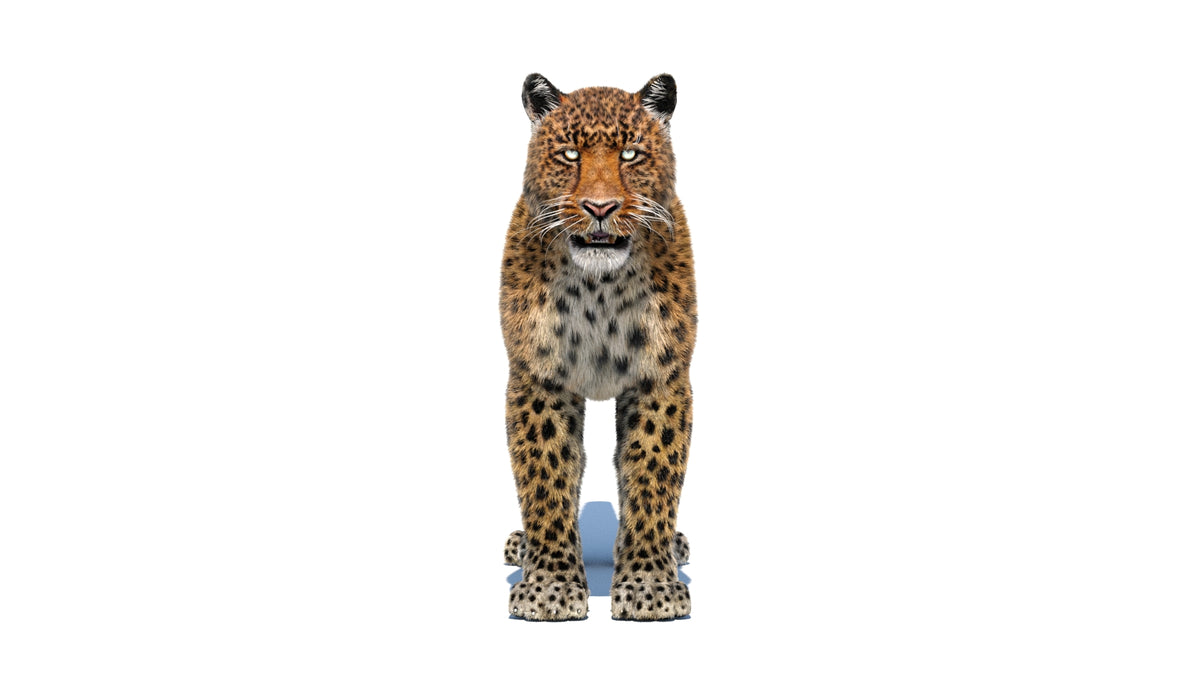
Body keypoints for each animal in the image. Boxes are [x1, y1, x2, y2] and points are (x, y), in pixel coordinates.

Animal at [499, 73, 698, 621]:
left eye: (630, 154)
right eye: (569, 154)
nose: (600, 208)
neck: (600, 288)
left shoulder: (660, 379)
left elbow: (651, 474)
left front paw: (650, 586)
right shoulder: (539, 379)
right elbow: (546, 478)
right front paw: (549, 588)